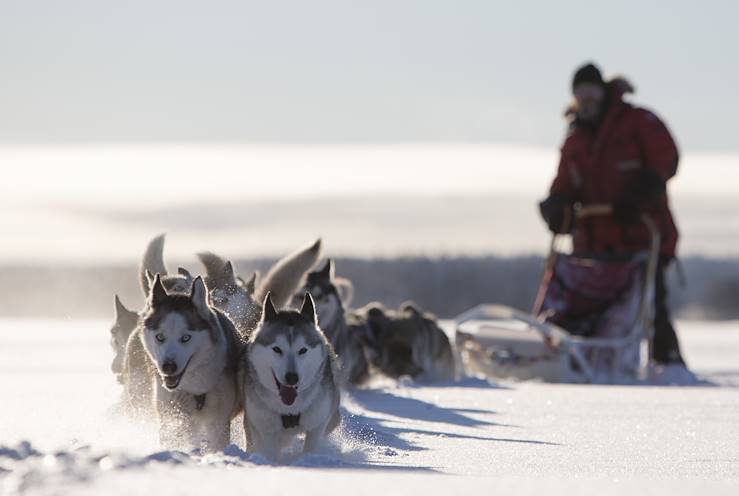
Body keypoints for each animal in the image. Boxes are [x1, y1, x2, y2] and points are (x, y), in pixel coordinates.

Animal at [139, 278, 243, 452]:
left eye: (186, 338)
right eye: (160, 337)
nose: (168, 367)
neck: (195, 389)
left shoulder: (218, 423)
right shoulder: (174, 418)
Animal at [243, 292, 342, 460]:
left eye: (303, 350)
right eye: (277, 349)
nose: (292, 377)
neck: (290, 409)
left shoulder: (317, 425)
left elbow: (311, 446)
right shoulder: (264, 429)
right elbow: (268, 452)